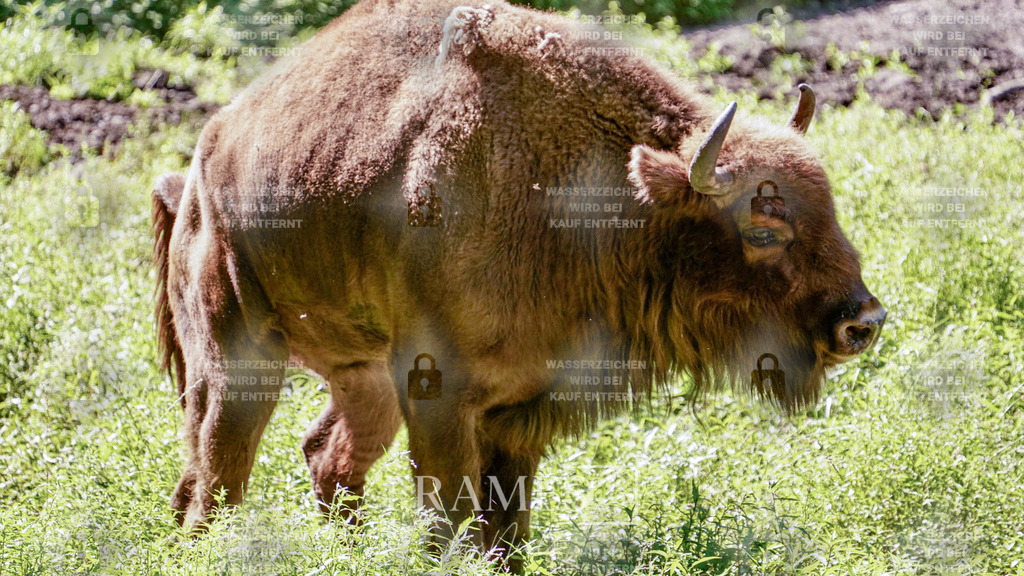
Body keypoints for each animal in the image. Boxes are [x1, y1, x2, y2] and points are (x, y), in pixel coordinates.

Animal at [152, 0, 885, 571]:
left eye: (830, 208)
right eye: (763, 228)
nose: (862, 322)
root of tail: (197, 164)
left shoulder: (521, 411)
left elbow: (506, 532)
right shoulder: (439, 396)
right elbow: (447, 522)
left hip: (364, 379)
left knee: (320, 457)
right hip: (240, 361)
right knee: (215, 478)